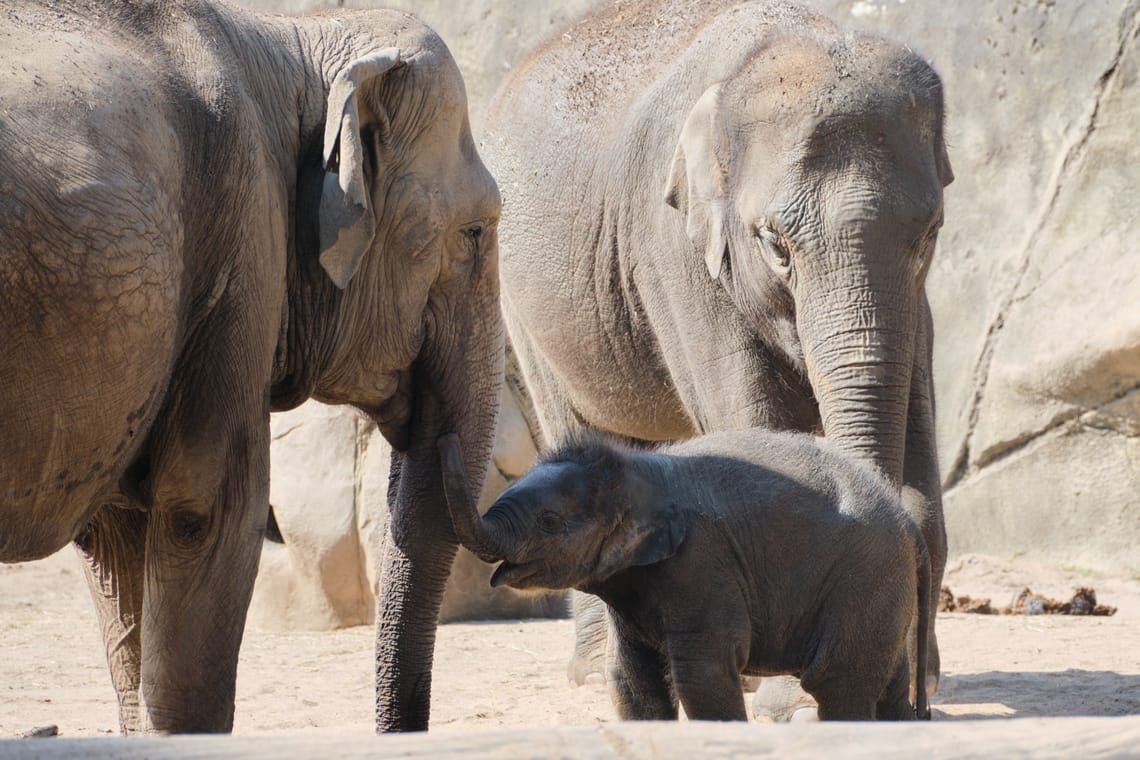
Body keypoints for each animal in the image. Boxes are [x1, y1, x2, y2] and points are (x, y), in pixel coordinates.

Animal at [438, 431, 933, 721]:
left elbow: (702, 675)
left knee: (838, 682)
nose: (442, 437)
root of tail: (909, 525)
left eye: (549, 522)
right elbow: (635, 678)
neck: (637, 468)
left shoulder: (702, 565)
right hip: (883, 590)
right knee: (886, 685)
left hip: (863, 578)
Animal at [483, 0, 952, 699]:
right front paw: (790, 699)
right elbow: (754, 422)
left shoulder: (915, 305)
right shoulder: (674, 251)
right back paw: (595, 673)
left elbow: (918, 440)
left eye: (930, 233)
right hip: (520, 298)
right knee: (574, 422)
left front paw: (917, 680)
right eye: (775, 243)